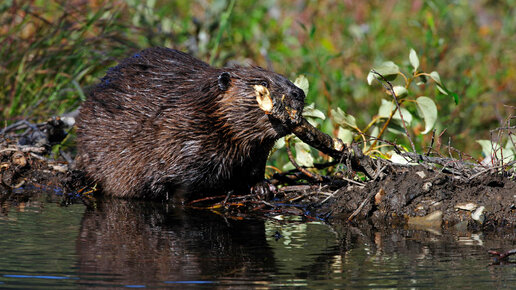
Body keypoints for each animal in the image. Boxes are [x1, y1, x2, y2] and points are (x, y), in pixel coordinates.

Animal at [74, 47, 304, 199]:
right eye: (263, 83)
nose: (300, 93)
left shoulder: (256, 150)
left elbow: (255, 167)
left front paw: (265, 187)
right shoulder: (178, 134)